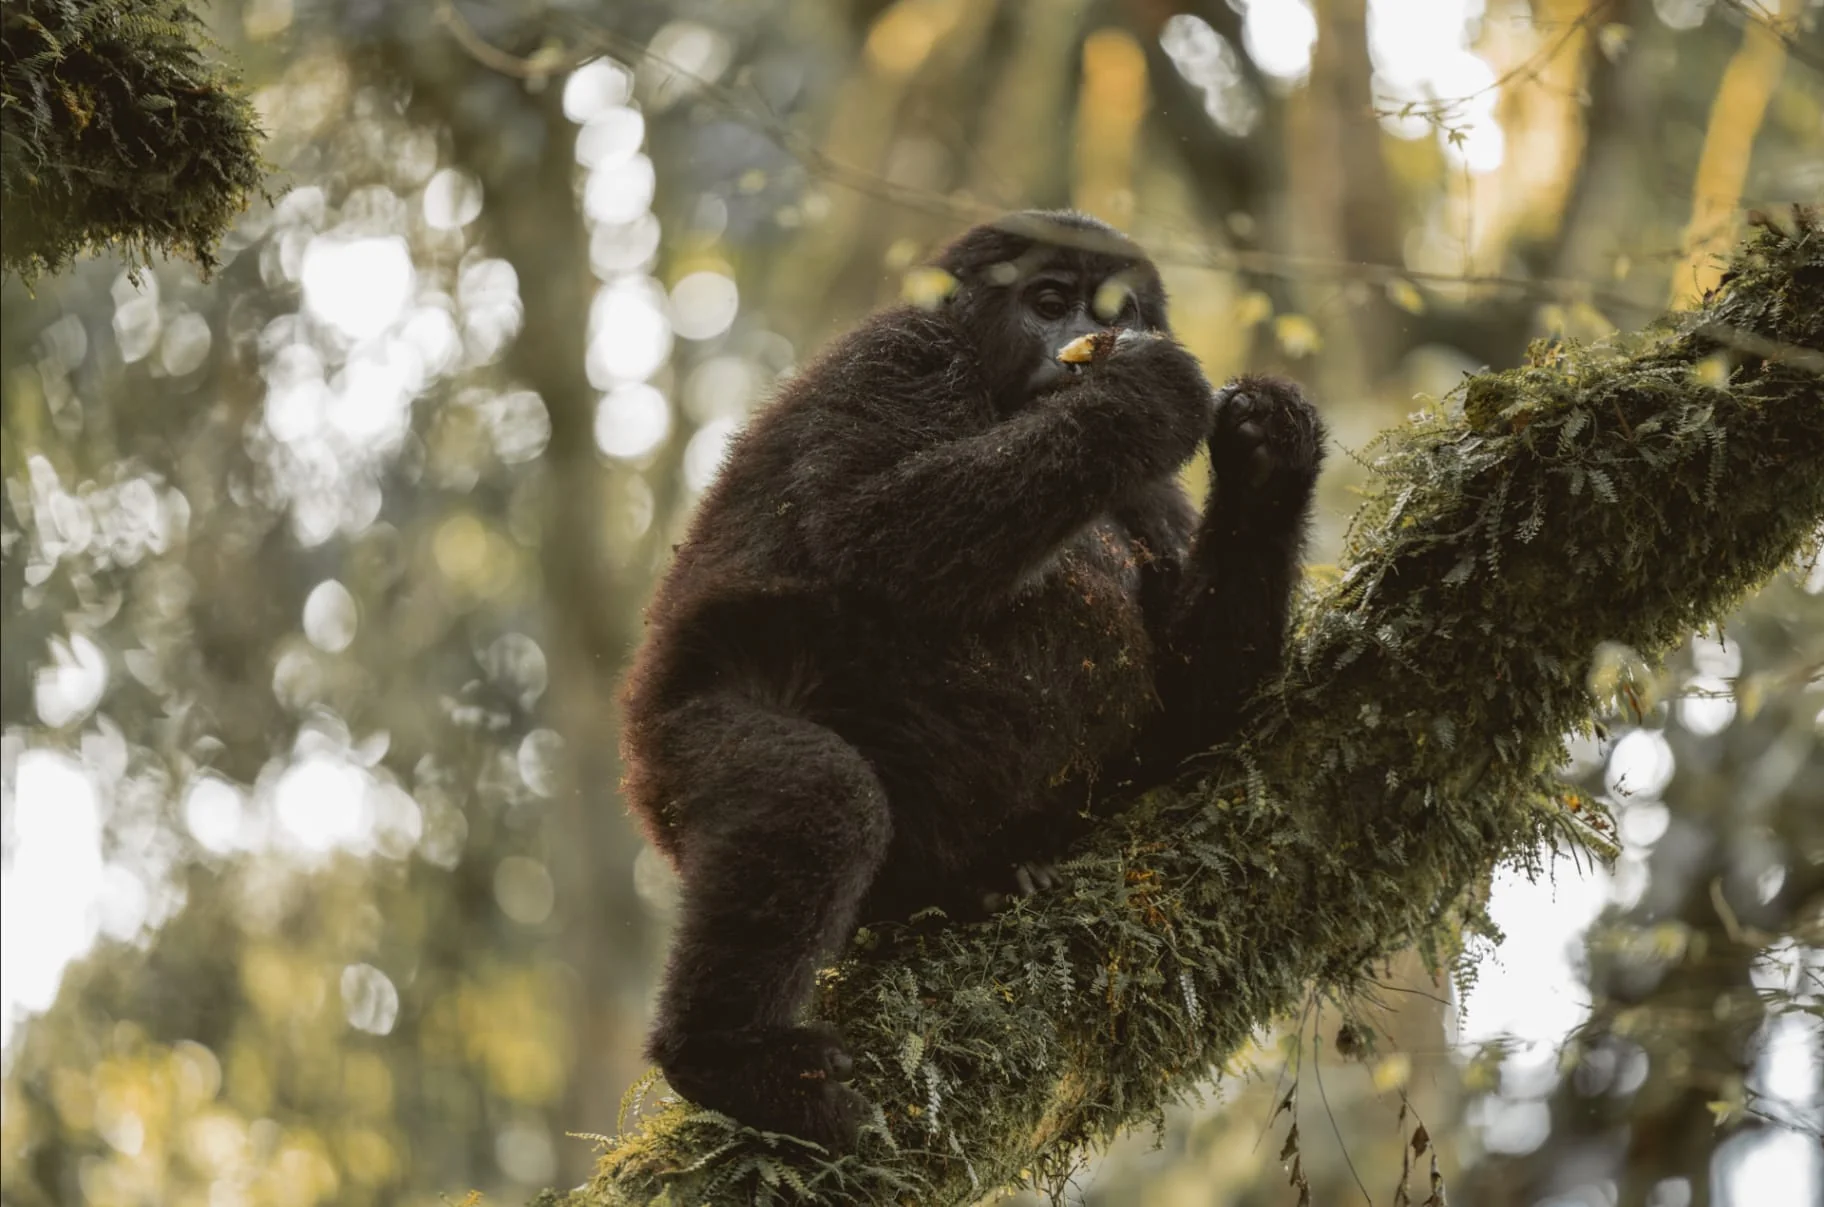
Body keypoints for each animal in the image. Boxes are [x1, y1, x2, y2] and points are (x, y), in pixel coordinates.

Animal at [619, 210, 1325, 1151]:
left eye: (1116, 310)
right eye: (1050, 302)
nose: (1080, 341)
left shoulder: (1153, 497)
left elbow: (1190, 702)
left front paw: (1271, 455)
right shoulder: (896, 354)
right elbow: (873, 525)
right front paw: (1141, 398)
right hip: (669, 748)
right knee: (816, 792)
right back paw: (725, 1056)